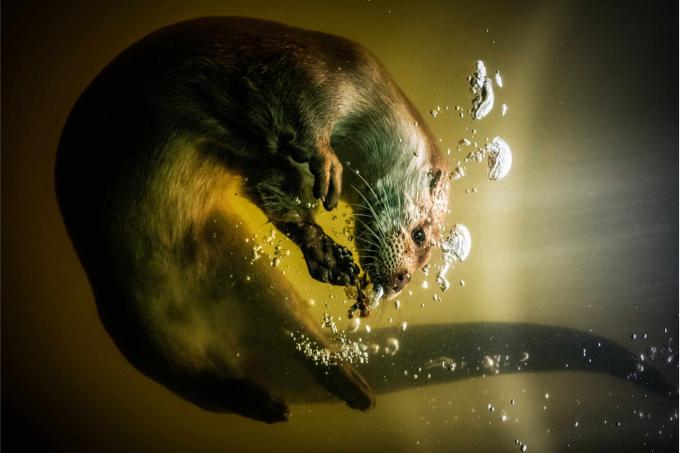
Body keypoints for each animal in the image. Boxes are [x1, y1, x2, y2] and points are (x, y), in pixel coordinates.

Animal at [55, 17, 674, 424]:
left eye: (424, 260)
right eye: (422, 237)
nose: (398, 282)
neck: (360, 97)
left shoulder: (267, 162)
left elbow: (275, 194)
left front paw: (330, 256)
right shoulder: (300, 75)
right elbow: (298, 130)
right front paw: (325, 168)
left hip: (246, 275)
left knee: (288, 334)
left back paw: (345, 388)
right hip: (133, 323)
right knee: (187, 374)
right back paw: (264, 400)